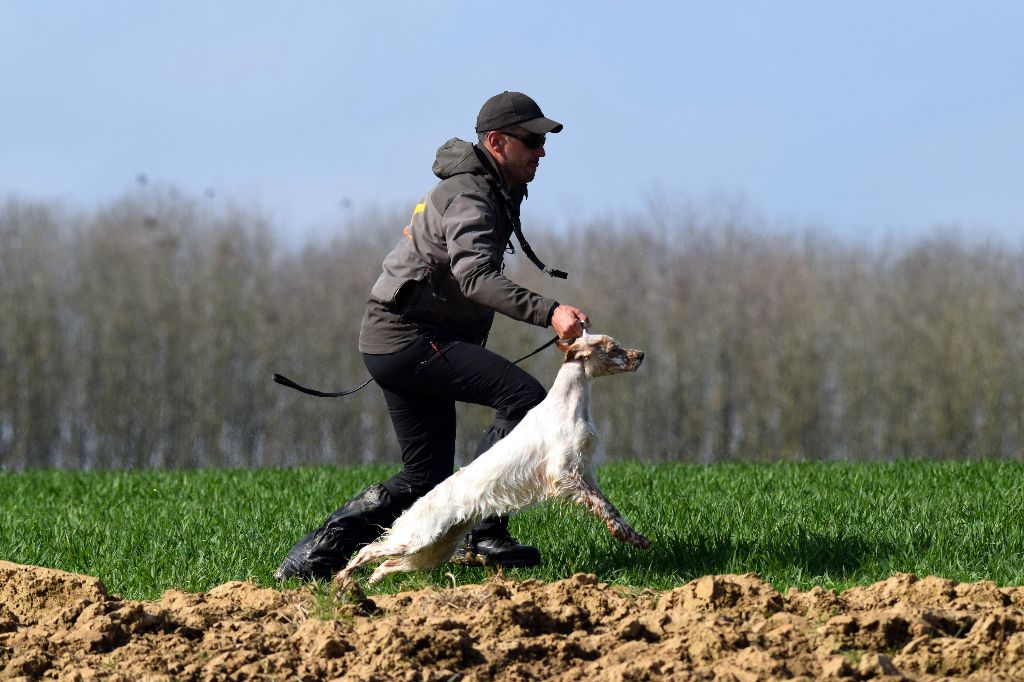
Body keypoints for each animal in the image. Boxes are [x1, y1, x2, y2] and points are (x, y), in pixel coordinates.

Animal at [339, 331, 651, 581]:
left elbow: (611, 507)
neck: (568, 405)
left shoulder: (584, 472)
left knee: (386, 565)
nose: (641, 355)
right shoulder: (563, 474)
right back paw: (342, 582)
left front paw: (636, 538)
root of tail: (417, 506)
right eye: (613, 348)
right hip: (417, 537)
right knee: (368, 550)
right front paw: (623, 533)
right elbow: (603, 506)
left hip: (435, 549)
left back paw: (366, 588)